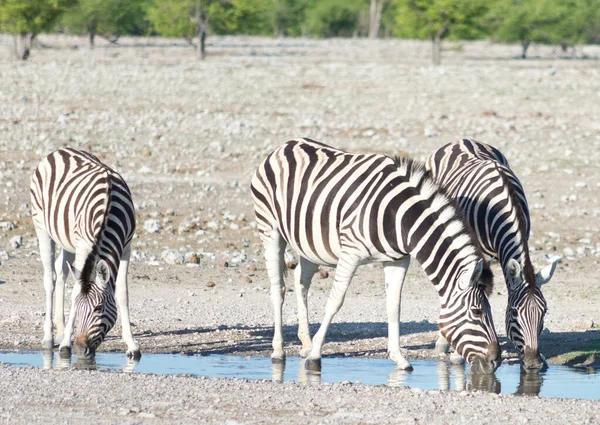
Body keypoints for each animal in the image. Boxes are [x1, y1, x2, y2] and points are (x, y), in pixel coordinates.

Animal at [30, 148, 139, 358]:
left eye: (98, 308)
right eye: (78, 308)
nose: (80, 349)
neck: (108, 209)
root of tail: (58, 150)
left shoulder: (126, 247)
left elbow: (122, 293)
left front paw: (132, 345)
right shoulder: (84, 245)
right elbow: (75, 291)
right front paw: (66, 344)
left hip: (67, 240)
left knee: (62, 270)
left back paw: (61, 331)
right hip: (42, 227)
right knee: (50, 278)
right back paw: (49, 337)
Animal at [251, 138, 500, 372]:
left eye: (489, 311)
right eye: (477, 312)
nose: (495, 361)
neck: (401, 217)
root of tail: (285, 145)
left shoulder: (398, 260)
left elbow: (394, 306)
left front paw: (399, 358)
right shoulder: (350, 252)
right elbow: (335, 301)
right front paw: (315, 356)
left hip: (309, 243)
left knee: (301, 280)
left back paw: (305, 343)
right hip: (270, 229)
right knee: (278, 289)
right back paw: (279, 350)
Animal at [426, 140, 556, 372]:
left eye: (544, 312)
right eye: (514, 312)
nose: (533, 365)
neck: (503, 207)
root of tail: (461, 139)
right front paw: (458, 354)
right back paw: (443, 342)